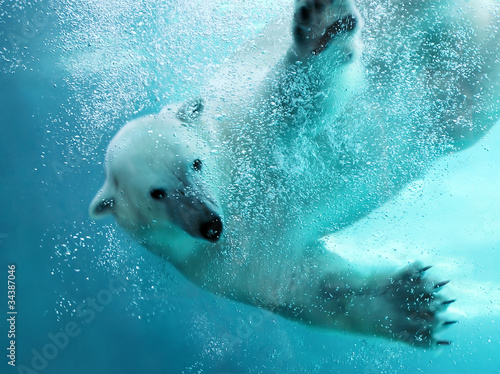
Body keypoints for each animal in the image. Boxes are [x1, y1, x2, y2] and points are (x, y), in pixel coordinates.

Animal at [88, 0, 498, 348]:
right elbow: (306, 287)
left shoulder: (248, 124)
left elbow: (297, 97)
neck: (235, 187)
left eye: (195, 163)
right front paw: (414, 304)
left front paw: (323, 27)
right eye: (156, 194)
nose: (211, 224)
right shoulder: (226, 264)